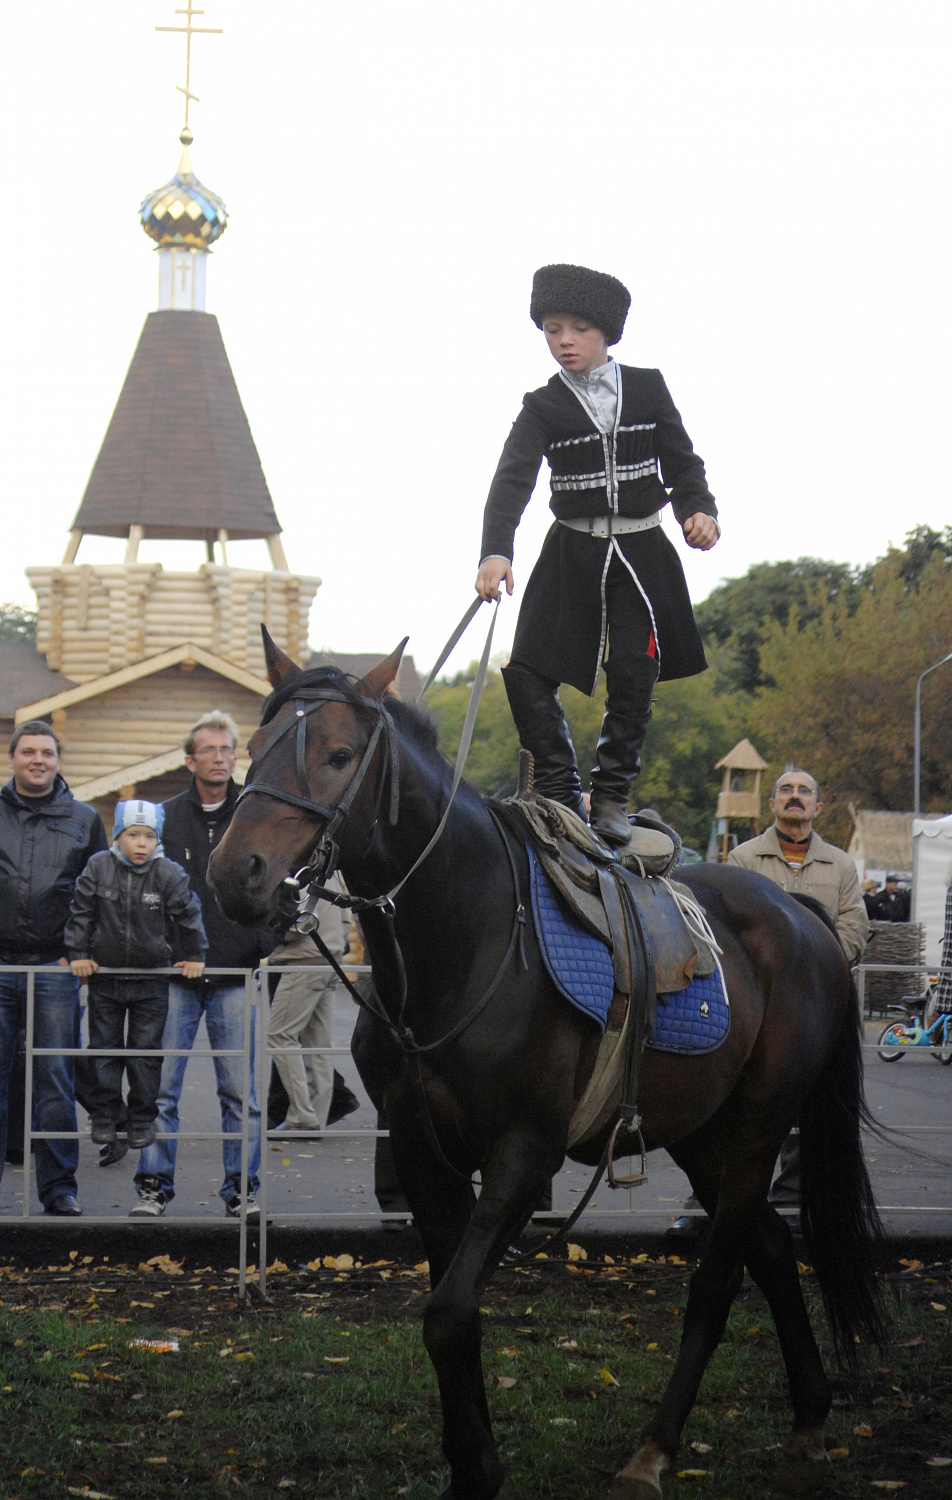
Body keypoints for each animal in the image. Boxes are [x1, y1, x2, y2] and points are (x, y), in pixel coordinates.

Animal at [209, 633, 887, 1500]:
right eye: (255, 746)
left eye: (337, 754)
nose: (237, 873)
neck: (464, 940)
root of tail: (799, 916)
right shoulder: (424, 1154)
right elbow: (451, 1308)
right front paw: (471, 1460)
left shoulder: (524, 1156)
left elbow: (448, 1312)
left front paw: (478, 1466)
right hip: (702, 1135)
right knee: (769, 1249)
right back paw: (808, 1413)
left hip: (758, 1129)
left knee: (719, 1277)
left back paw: (654, 1449)